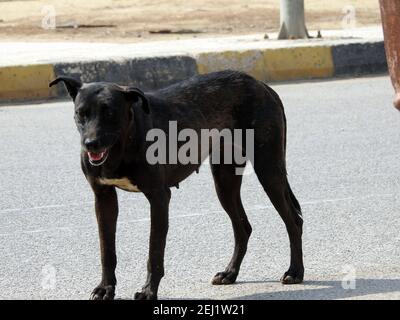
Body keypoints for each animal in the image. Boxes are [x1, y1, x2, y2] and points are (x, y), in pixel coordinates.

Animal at [49, 70, 304, 300]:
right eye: (80, 113)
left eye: (110, 113)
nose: (90, 144)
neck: (124, 142)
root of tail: (262, 85)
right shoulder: (104, 198)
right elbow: (107, 251)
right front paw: (105, 288)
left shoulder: (159, 198)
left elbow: (154, 251)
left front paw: (148, 291)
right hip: (224, 181)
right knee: (243, 227)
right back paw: (230, 273)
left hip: (268, 171)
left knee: (293, 220)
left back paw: (295, 271)